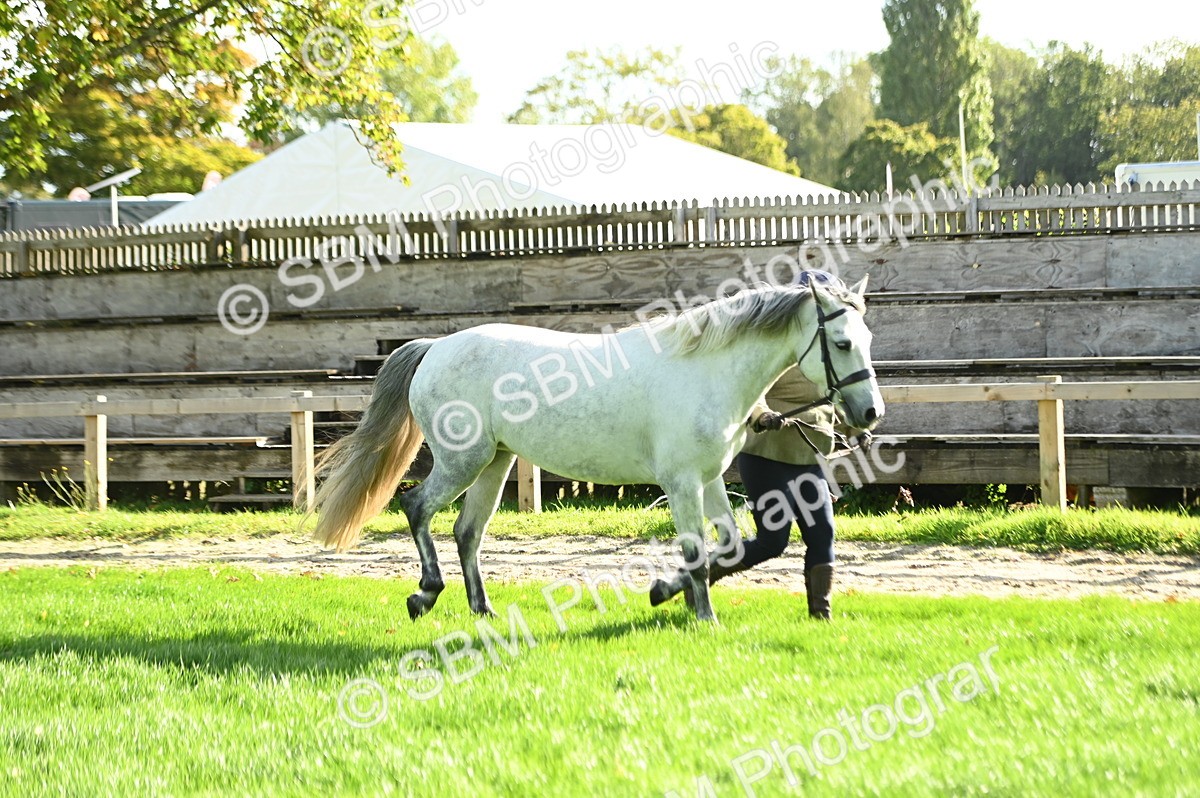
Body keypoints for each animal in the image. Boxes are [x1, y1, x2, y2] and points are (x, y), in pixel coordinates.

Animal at [307, 274, 884, 624]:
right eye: (841, 343)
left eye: (868, 340)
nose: (870, 413)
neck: (706, 370)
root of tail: (436, 348)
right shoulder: (681, 483)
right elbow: (698, 552)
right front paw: (703, 617)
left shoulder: (710, 479)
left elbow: (732, 545)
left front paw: (665, 593)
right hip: (461, 461)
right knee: (416, 507)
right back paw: (424, 593)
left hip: (495, 462)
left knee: (467, 532)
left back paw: (482, 609)